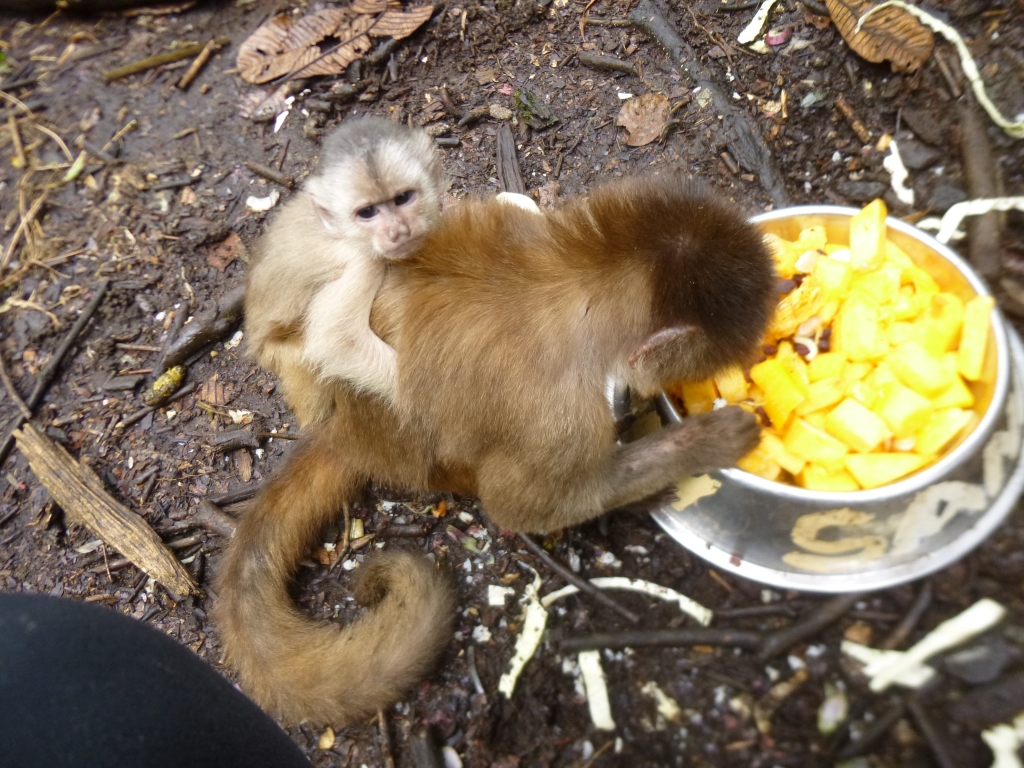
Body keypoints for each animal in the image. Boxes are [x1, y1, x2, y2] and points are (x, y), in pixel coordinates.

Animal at [246, 117, 444, 423]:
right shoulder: (361, 262)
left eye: (403, 198)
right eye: (367, 212)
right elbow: (337, 340)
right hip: (280, 355)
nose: (398, 230)